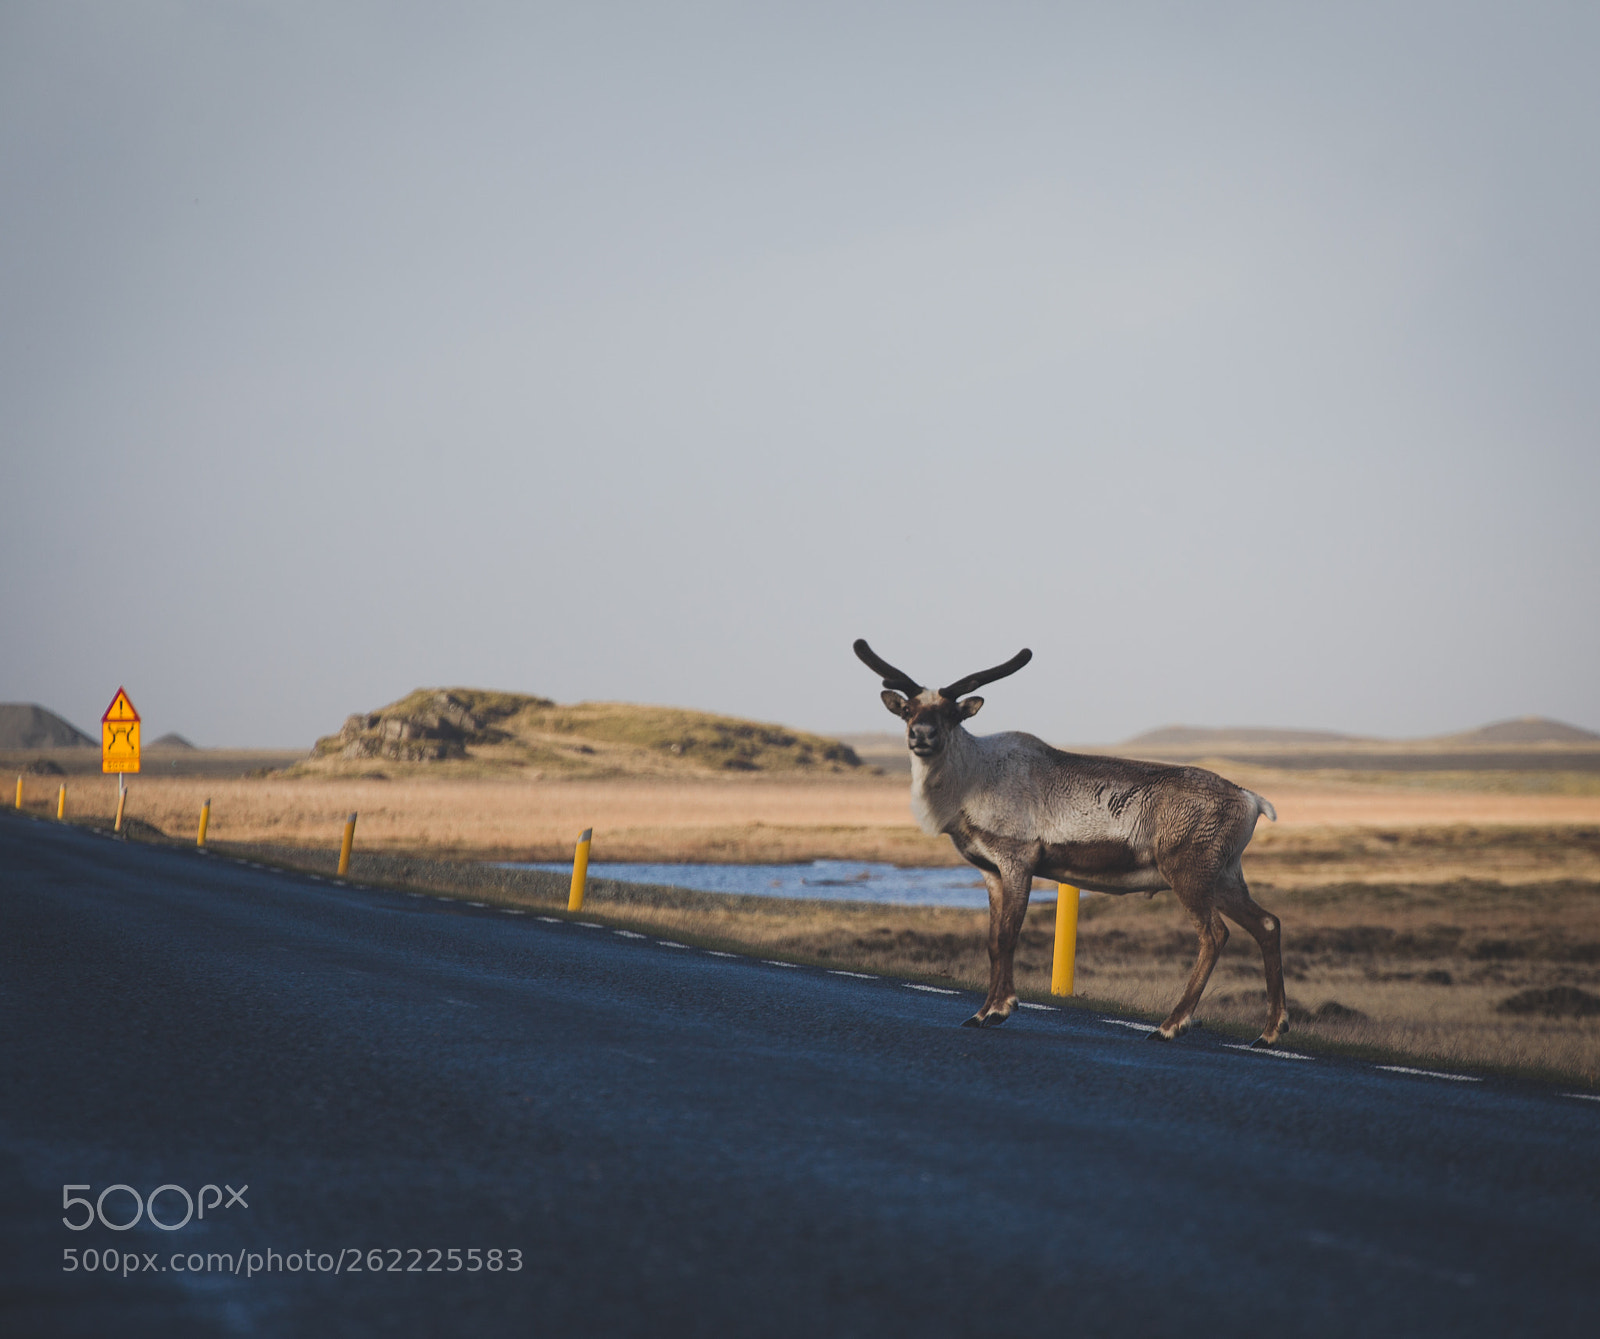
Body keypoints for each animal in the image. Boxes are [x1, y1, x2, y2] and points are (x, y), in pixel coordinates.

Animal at [854, 639, 1288, 1047]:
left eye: (950, 713)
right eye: (908, 711)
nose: (921, 735)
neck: (969, 783)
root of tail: (1251, 800)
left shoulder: (1018, 858)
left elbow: (1009, 936)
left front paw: (999, 1009)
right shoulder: (990, 870)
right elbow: (992, 941)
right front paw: (979, 1012)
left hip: (1188, 871)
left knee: (1214, 934)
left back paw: (1170, 1025)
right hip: (1225, 875)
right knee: (1267, 923)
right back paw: (1269, 1031)